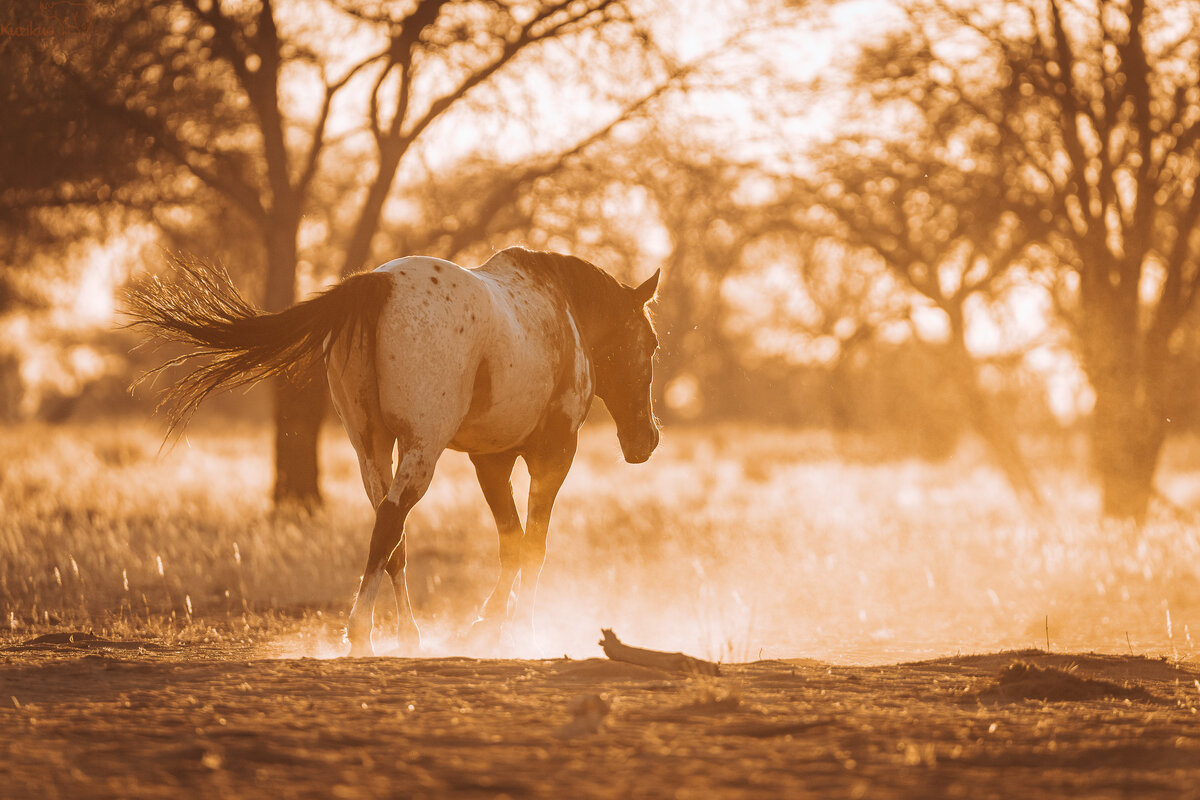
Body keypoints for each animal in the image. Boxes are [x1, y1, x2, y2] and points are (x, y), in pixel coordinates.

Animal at [126, 247, 662, 656]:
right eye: (652, 343)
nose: (647, 441)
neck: (561, 313)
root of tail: (376, 284)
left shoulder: (491, 460)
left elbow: (510, 542)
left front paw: (488, 624)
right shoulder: (551, 457)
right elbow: (533, 545)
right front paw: (520, 630)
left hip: (372, 446)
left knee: (391, 535)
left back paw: (407, 635)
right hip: (422, 448)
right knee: (390, 523)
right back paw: (360, 632)